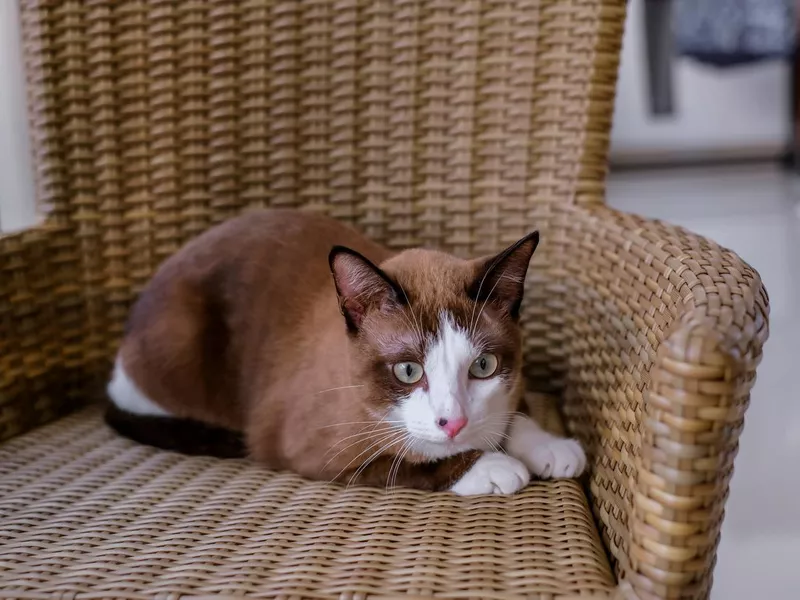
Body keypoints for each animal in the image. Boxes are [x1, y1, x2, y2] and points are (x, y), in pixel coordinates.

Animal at [106, 209, 584, 494]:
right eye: (408, 371)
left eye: (483, 366)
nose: (454, 423)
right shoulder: (310, 448)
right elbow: (400, 462)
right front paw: (488, 466)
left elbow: (512, 412)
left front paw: (550, 445)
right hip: (178, 343)